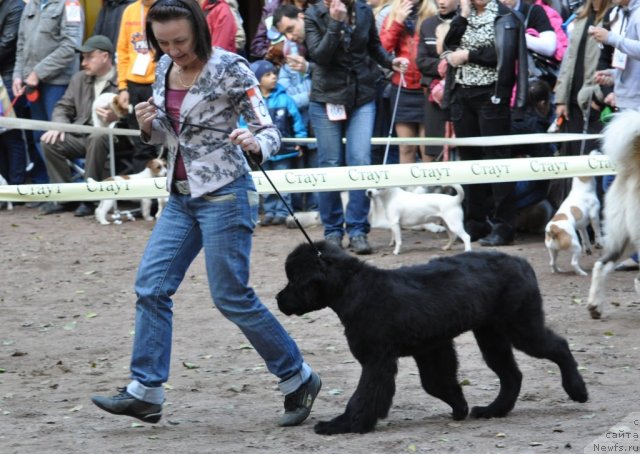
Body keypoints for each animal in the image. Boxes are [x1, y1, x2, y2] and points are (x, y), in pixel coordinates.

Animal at [278, 241, 588, 436]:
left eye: (293, 280)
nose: (279, 299)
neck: (350, 288)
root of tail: (523, 263)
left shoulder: (377, 359)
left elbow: (365, 395)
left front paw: (344, 425)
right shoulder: (431, 349)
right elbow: (437, 383)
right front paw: (460, 406)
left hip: (521, 327)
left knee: (559, 347)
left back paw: (577, 390)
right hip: (492, 336)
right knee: (512, 375)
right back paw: (493, 410)